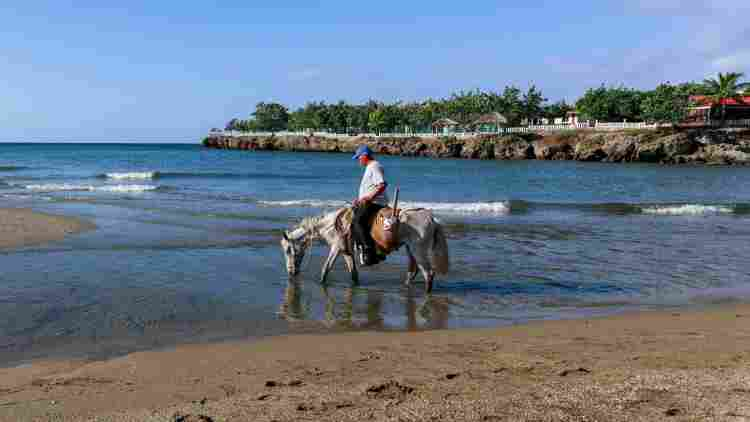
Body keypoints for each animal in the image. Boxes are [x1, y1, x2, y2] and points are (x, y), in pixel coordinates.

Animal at [280, 207, 446, 292]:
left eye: (288, 250)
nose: (291, 272)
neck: (332, 225)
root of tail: (432, 219)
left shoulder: (336, 247)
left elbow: (326, 269)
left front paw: (321, 283)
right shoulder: (346, 251)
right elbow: (353, 273)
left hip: (418, 250)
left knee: (428, 273)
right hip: (410, 249)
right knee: (413, 271)